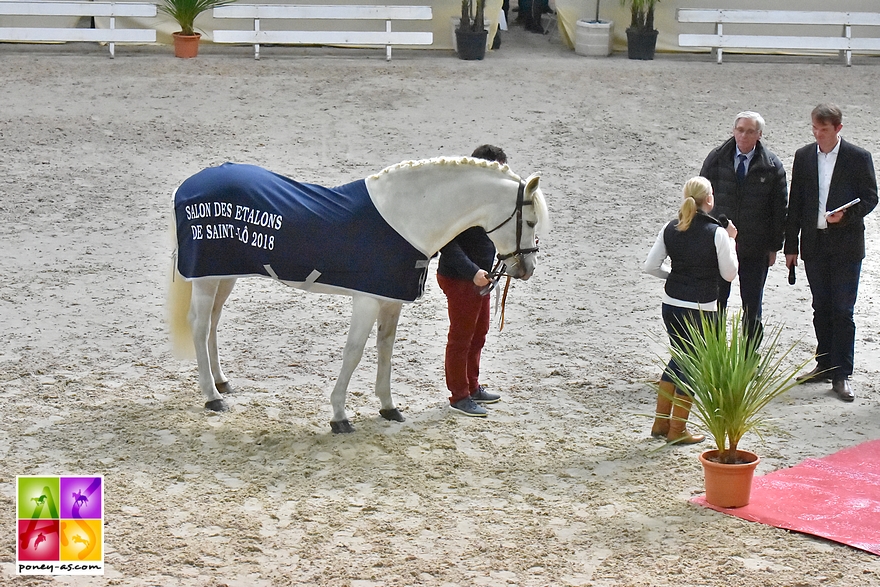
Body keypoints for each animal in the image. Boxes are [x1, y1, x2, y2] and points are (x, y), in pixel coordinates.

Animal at [167, 156, 552, 432]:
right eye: (531, 221)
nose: (527, 269)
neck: (405, 218)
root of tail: (187, 185)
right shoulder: (366, 300)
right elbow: (353, 353)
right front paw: (340, 415)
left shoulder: (390, 302)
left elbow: (385, 350)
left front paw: (389, 407)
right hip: (206, 278)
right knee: (200, 326)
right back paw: (212, 397)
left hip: (222, 274)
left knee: (213, 324)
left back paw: (222, 382)